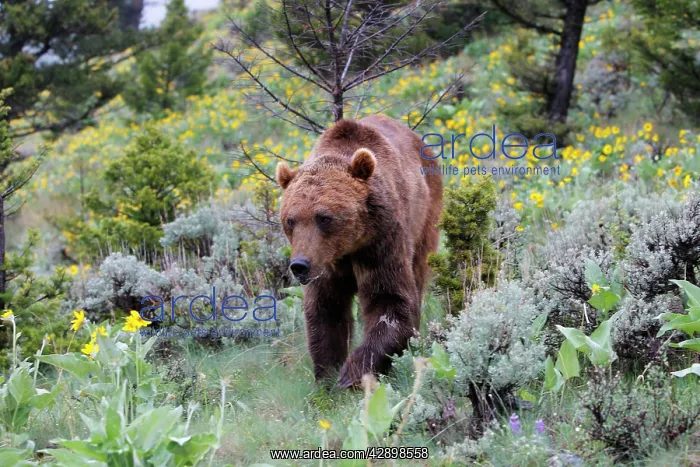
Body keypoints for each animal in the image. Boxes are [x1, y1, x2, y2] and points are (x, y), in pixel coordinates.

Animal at [275, 114, 443, 388]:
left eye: (324, 217)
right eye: (290, 220)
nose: (299, 265)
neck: (347, 247)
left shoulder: (380, 242)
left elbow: (390, 301)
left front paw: (352, 373)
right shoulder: (327, 264)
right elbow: (325, 311)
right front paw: (328, 375)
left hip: (425, 214)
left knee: (418, 272)